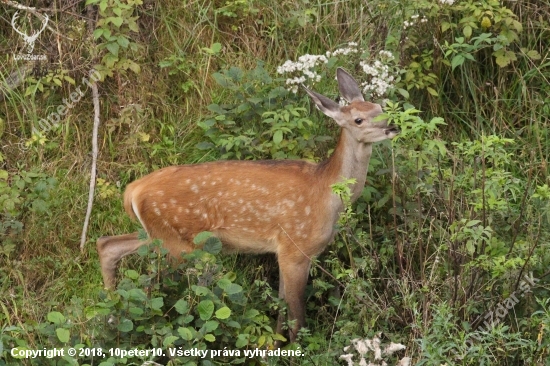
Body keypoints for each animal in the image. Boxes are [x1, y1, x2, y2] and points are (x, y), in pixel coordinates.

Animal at [97, 68, 402, 344]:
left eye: (380, 106)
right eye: (358, 119)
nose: (393, 126)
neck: (327, 194)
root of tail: (133, 190)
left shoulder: (284, 252)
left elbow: (281, 310)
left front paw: (274, 347)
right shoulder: (295, 248)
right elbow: (296, 317)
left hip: (159, 236)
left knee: (107, 245)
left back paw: (110, 315)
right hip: (179, 244)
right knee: (147, 285)